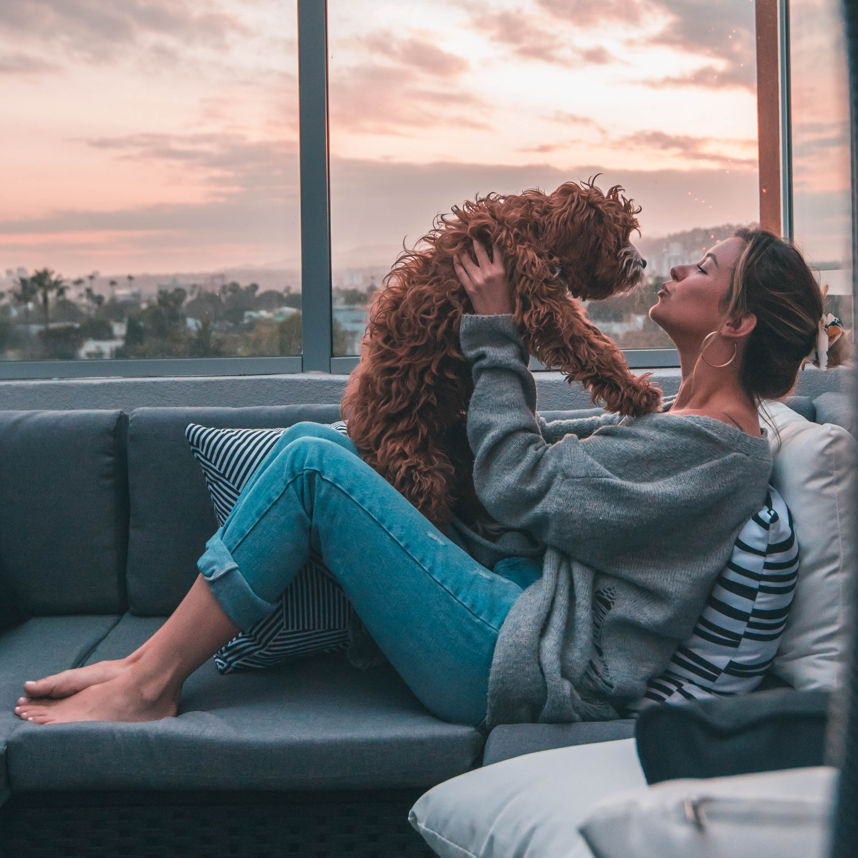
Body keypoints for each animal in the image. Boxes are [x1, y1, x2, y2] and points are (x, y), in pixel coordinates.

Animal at [342, 179, 664, 528]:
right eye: (619, 235)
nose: (643, 264)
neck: (535, 231)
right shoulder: (544, 306)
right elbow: (590, 347)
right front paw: (636, 392)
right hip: (416, 464)